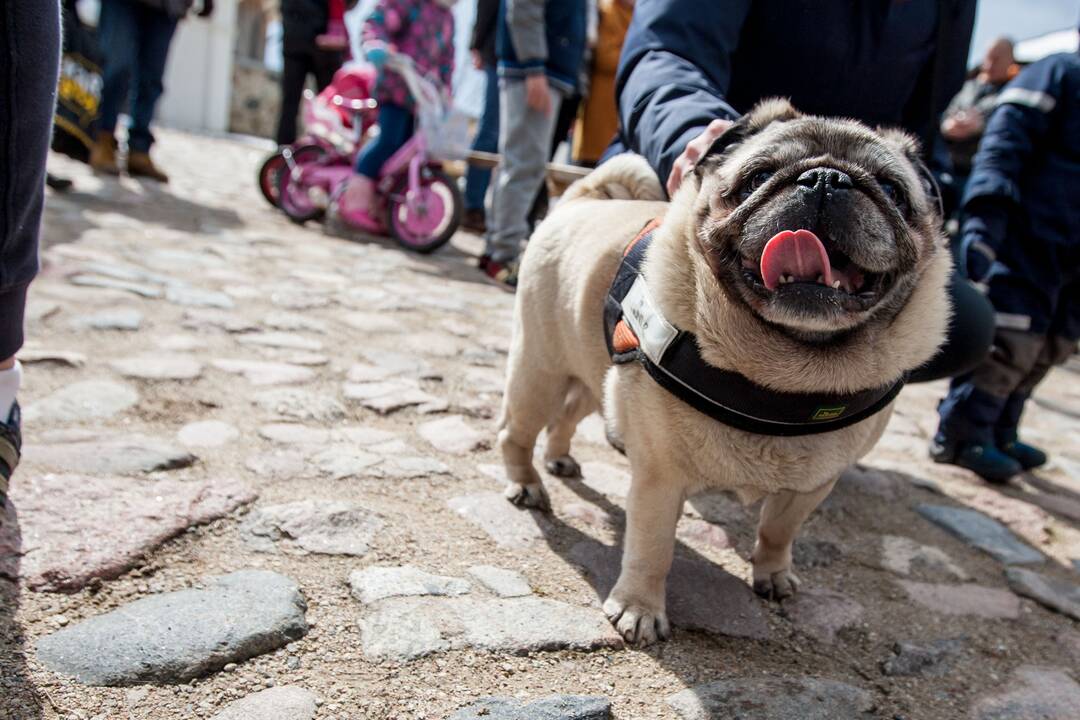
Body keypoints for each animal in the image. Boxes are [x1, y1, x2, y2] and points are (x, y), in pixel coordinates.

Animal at [494, 98, 950, 643]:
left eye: (892, 191)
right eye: (759, 177)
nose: (826, 178)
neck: (786, 374)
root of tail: (581, 200)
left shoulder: (812, 486)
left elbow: (777, 530)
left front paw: (772, 574)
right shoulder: (659, 478)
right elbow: (652, 549)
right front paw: (639, 608)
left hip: (596, 373)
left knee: (567, 415)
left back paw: (560, 458)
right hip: (539, 371)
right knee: (516, 431)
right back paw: (527, 485)